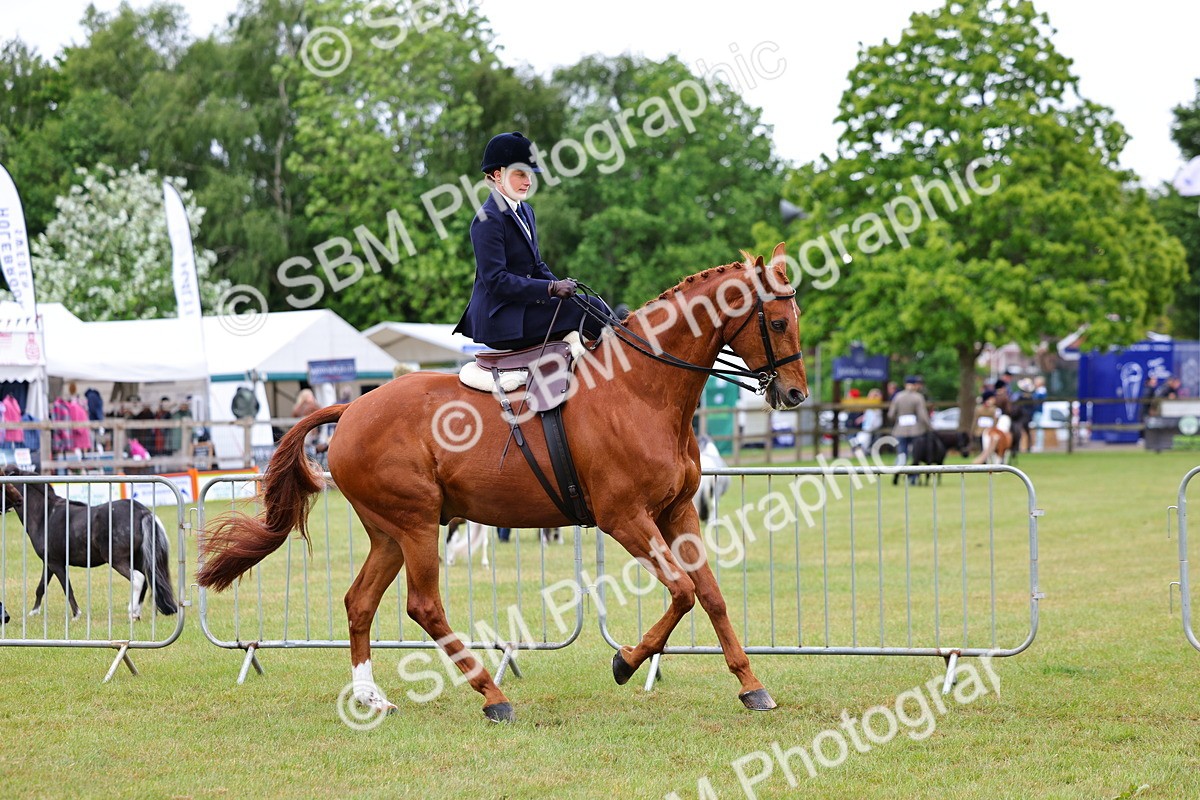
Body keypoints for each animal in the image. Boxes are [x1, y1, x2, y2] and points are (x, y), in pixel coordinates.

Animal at [2, 467, 177, 620]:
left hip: (117, 560)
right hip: (138, 558)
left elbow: (67, 588)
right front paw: (33, 612)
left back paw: (131, 611)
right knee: (145, 582)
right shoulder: (50, 563)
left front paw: (76, 615)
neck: (45, 515)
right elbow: (41, 587)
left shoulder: (55, 563)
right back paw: (136, 614)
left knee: (138, 579)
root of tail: (141, 512)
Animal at [196, 245, 807, 722]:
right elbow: (681, 591)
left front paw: (752, 686)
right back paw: (492, 695)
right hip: (416, 524)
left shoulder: (678, 513)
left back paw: (371, 698)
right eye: (777, 322)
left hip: (390, 531)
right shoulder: (625, 519)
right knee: (424, 606)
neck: (641, 389)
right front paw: (625, 662)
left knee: (360, 602)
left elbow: (711, 595)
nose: (795, 394)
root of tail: (351, 409)